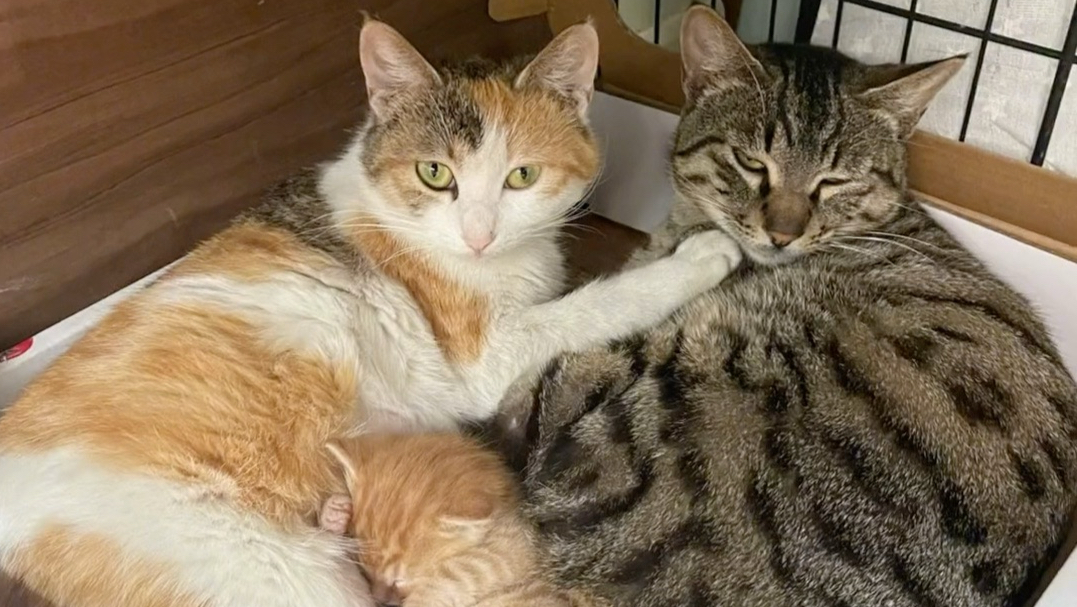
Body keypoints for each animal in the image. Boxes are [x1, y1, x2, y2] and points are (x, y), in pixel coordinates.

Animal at [319, 433, 590, 607]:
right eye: (365, 572)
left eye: (400, 580)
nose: (380, 601)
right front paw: (335, 512)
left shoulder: (522, 551)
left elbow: (458, 572)